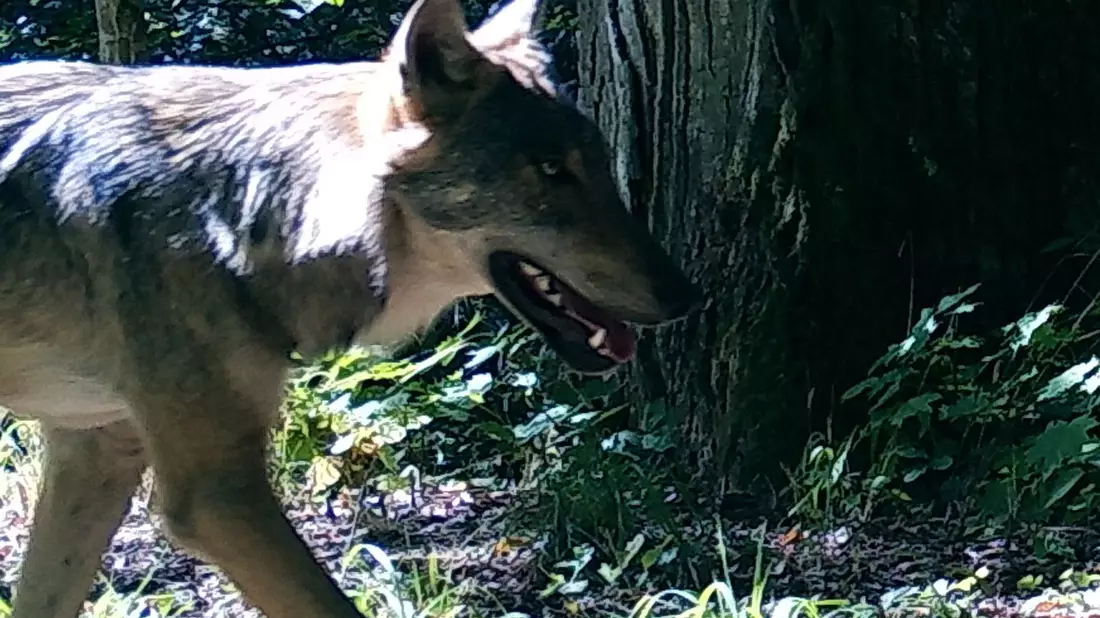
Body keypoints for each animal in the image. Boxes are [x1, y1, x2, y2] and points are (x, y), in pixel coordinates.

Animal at [0, 0, 700, 615]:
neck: (247, 211)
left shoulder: (95, 450)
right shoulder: (216, 494)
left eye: (599, 164)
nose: (686, 297)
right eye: (552, 170)